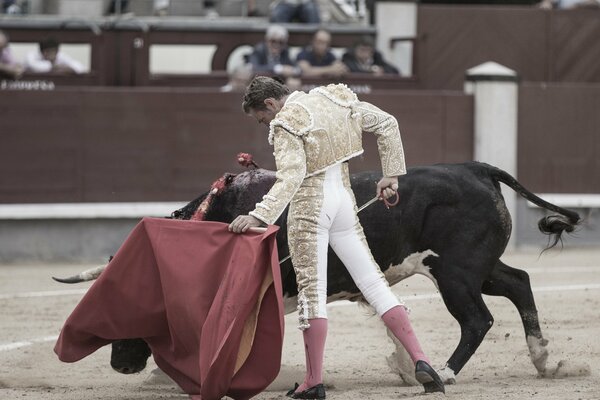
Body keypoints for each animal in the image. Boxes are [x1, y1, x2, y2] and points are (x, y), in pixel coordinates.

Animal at [68, 162, 580, 382]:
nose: (120, 365)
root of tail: (476, 168)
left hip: (455, 272)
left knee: (477, 319)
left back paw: (444, 374)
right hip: (475, 267)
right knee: (518, 283)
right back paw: (543, 361)